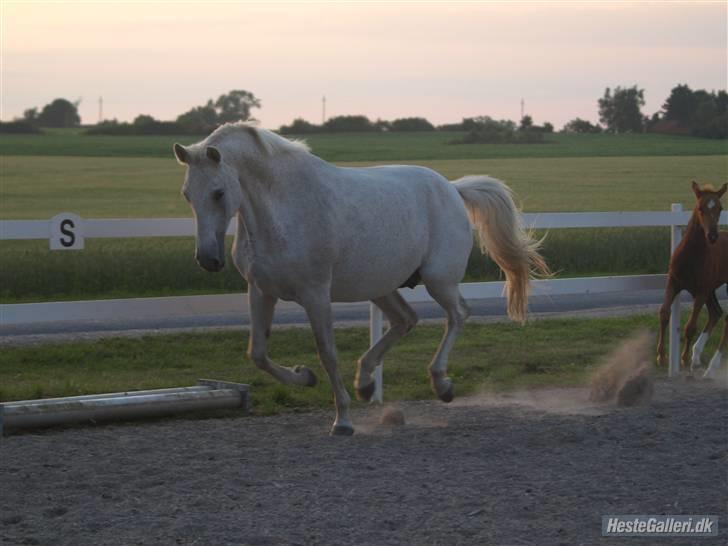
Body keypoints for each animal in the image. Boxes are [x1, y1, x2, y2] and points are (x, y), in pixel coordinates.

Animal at [175, 122, 544, 434]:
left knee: (457, 315)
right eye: (187, 194)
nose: (208, 259)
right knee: (406, 320)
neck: (282, 210)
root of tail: (452, 189)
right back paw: (366, 383)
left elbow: (327, 352)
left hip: (439, 280)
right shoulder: (261, 290)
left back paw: (442, 384)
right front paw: (304, 377)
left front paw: (342, 420)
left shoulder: (315, 294)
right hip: (381, 286)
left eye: (218, 192)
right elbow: (258, 353)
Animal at [656, 181, 724, 376]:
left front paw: (684, 358)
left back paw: (711, 366)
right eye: (700, 208)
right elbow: (664, 313)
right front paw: (661, 356)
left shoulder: (700, 291)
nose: (712, 236)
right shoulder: (674, 283)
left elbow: (690, 326)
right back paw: (697, 358)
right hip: (711, 290)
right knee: (716, 313)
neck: (691, 256)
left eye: (720, 208)